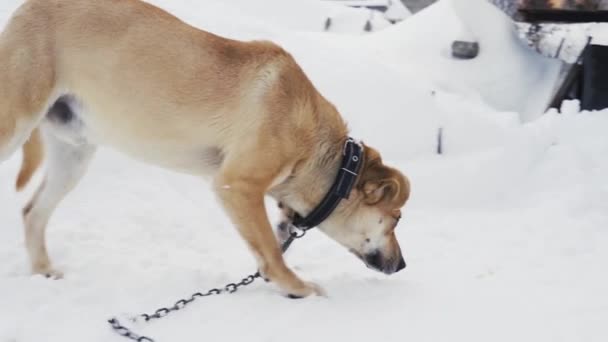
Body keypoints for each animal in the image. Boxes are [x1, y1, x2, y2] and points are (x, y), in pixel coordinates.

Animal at [0, 0, 410, 298]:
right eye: (395, 219)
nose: (403, 265)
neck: (316, 145)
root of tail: (28, 7)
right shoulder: (237, 185)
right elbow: (271, 249)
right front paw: (296, 287)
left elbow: (270, 246)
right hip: (15, 123)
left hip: (74, 152)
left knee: (33, 212)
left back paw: (43, 271)